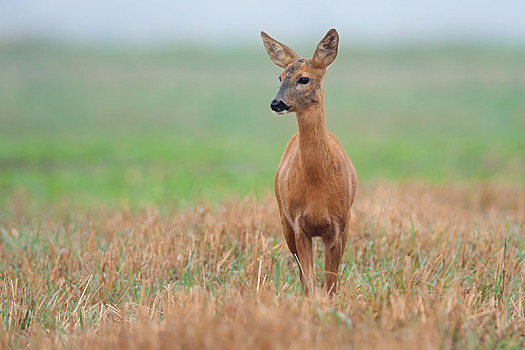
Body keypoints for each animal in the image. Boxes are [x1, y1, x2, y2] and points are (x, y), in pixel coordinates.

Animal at [260, 28, 356, 294]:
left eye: (304, 79)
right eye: (280, 77)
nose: (276, 103)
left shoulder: (338, 225)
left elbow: (330, 284)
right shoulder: (298, 225)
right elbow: (309, 283)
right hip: (284, 219)